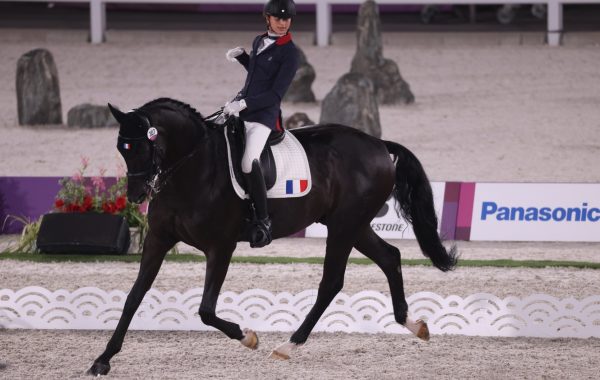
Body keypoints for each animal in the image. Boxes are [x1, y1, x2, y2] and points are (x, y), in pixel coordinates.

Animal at [86, 96, 458, 376]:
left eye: (142, 147)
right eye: (121, 147)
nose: (136, 195)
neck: (194, 168)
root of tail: (379, 144)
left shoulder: (219, 247)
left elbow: (206, 309)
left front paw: (248, 337)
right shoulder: (158, 240)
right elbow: (134, 297)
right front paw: (102, 360)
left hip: (344, 227)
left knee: (332, 281)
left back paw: (288, 345)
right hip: (354, 225)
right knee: (389, 258)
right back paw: (413, 325)